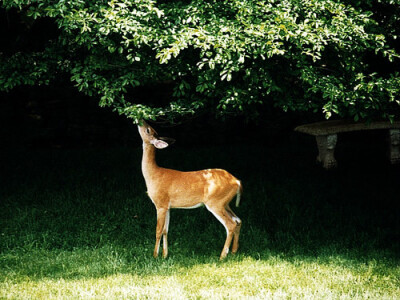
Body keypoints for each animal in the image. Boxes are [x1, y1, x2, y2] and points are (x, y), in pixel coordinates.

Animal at [138, 119, 242, 260]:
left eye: (148, 130)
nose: (140, 120)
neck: (153, 174)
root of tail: (237, 182)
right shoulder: (168, 206)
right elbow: (166, 230)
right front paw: (165, 255)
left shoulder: (160, 203)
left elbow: (158, 230)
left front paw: (155, 256)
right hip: (225, 203)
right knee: (238, 220)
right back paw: (233, 251)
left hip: (215, 202)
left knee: (231, 224)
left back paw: (222, 256)